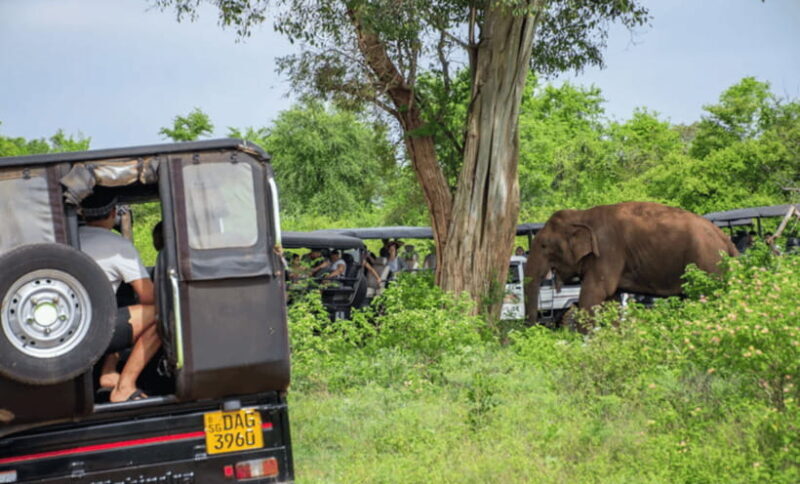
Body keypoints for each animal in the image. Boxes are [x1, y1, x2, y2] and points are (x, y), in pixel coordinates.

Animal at [524, 201, 738, 328]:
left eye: (544, 245)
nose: (534, 328)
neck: (581, 215)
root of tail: (726, 239)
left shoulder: (607, 251)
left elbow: (592, 295)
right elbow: (610, 300)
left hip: (707, 263)